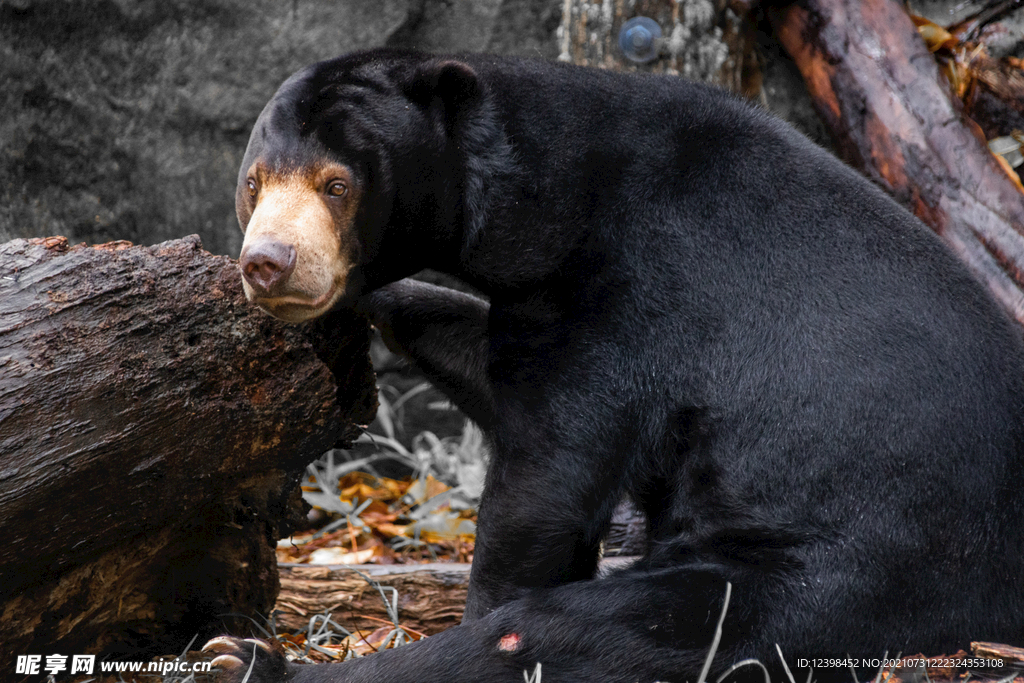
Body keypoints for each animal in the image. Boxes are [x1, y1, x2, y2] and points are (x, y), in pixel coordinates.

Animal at [199, 49, 1024, 683]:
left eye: (338, 184)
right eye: (255, 181)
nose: (268, 263)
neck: (545, 198)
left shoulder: (630, 292)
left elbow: (549, 474)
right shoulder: (543, 296)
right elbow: (483, 356)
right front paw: (377, 299)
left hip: (840, 571)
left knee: (570, 629)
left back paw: (245, 659)